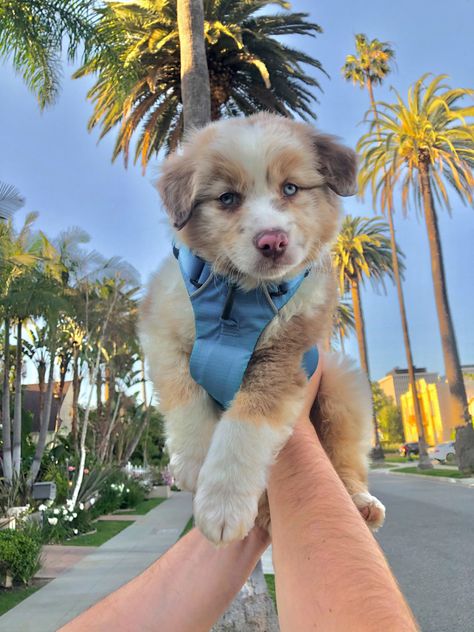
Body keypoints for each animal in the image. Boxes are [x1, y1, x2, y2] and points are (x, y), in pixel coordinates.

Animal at [138, 112, 386, 544]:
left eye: (290, 188)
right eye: (227, 198)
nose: (273, 241)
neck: (238, 297)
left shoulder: (283, 358)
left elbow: (243, 430)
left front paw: (222, 505)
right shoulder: (161, 327)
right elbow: (184, 392)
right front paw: (194, 462)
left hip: (343, 386)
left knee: (345, 458)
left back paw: (361, 503)